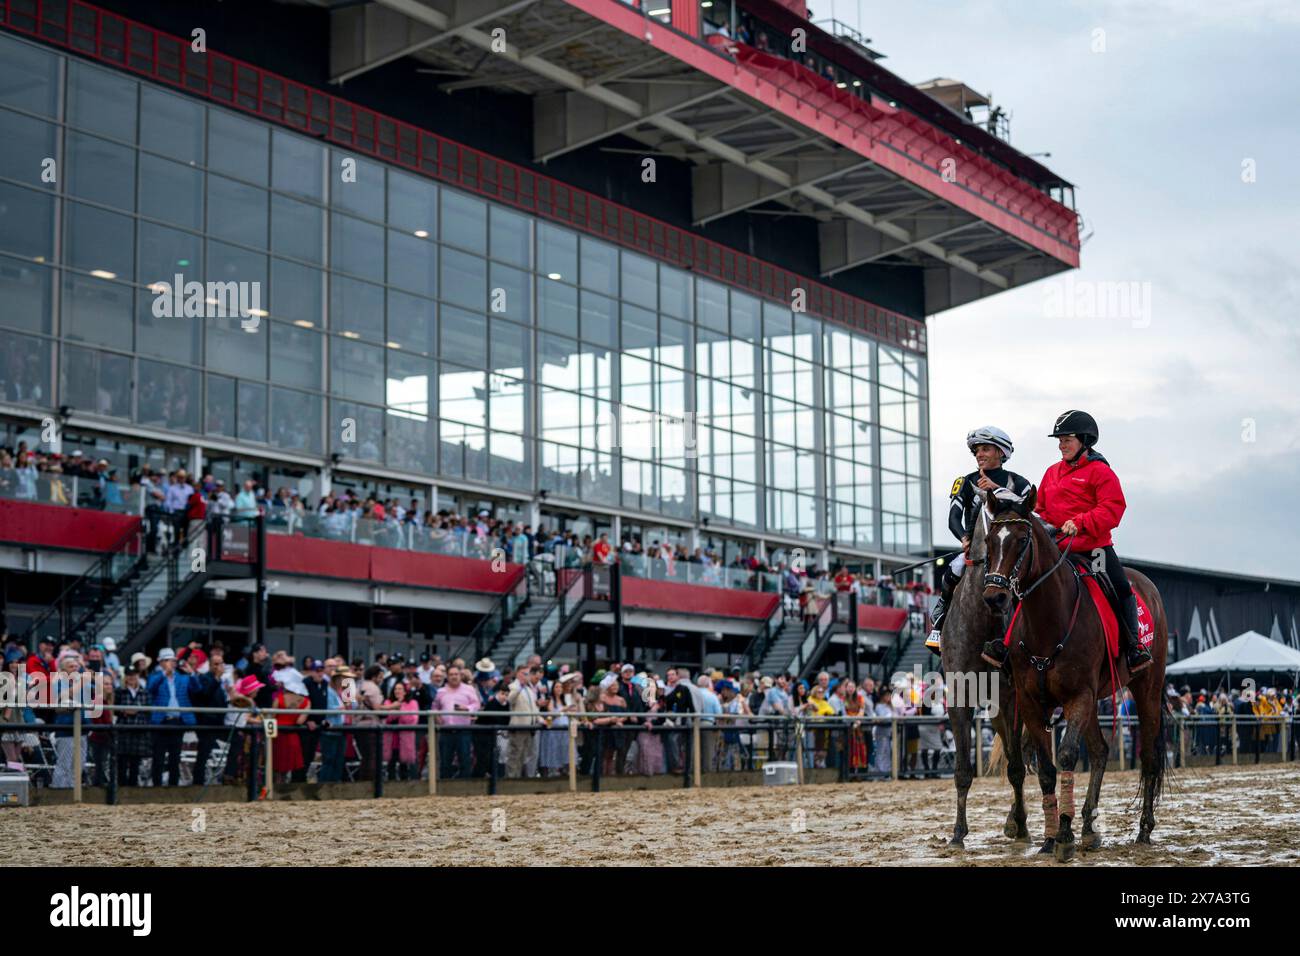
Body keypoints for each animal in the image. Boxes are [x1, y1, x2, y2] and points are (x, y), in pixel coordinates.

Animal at [941, 509, 1029, 842]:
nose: (998, 595)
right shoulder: (959, 696)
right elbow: (963, 770)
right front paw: (958, 833)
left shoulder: (1014, 699)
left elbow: (1016, 767)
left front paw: (1020, 824)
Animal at [982, 489, 1170, 863]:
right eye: (989, 541)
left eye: (1022, 539)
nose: (995, 597)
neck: (1048, 620)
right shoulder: (1031, 703)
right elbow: (1046, 769)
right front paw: (1051, 837)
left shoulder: (1077, 697)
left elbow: (1068, 756)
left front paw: (1064, 835)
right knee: (1099, 751)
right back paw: (1088, 827)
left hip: (1146, 689)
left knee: (1149, 757)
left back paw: (1143, 830)